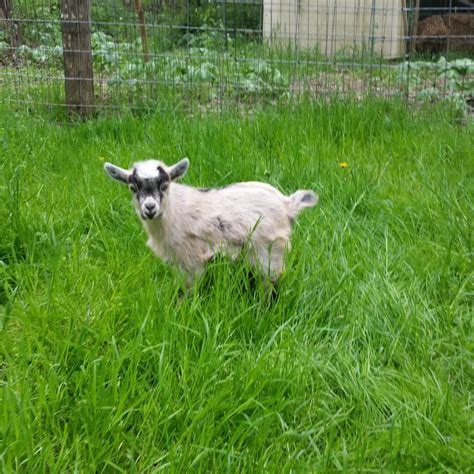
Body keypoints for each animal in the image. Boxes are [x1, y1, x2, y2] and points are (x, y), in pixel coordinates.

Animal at [104, 158, 318, 288]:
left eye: (165, 186)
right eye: (132, 188)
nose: (149, 208)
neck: (174, 211)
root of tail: (287, 204)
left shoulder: (191, 259)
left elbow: (187, 291)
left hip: (269, 249)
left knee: (271, 283)